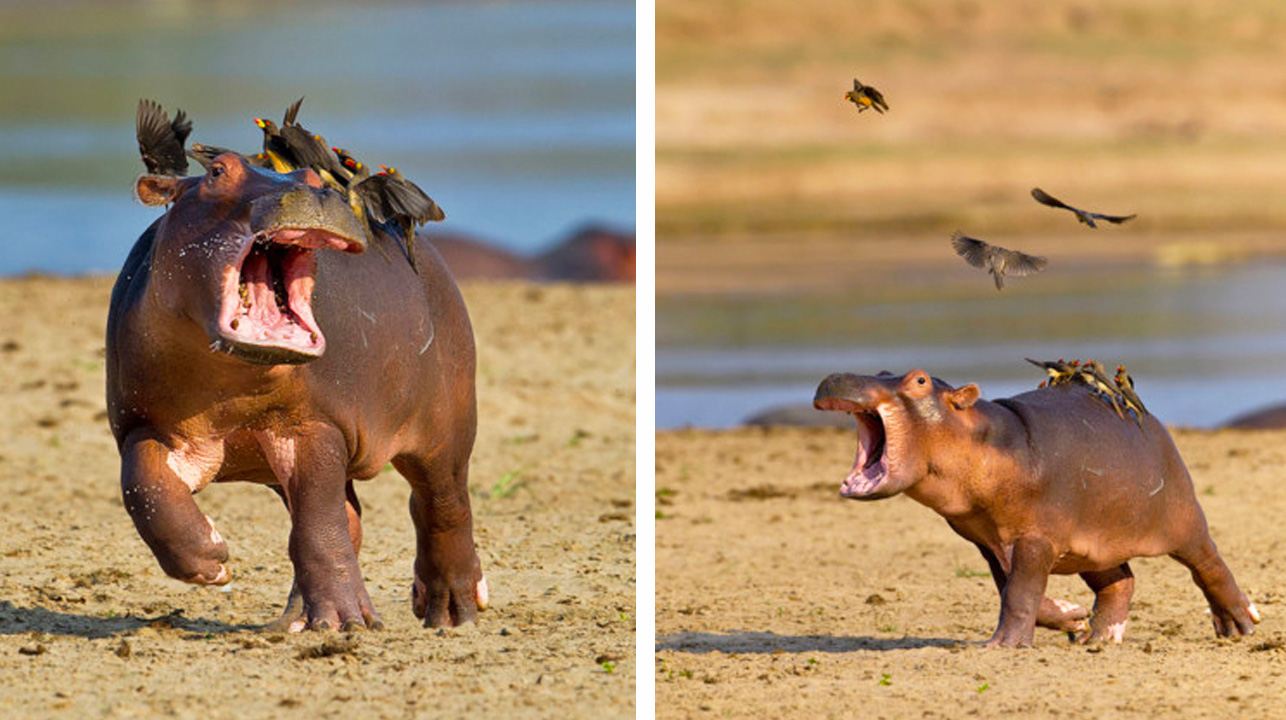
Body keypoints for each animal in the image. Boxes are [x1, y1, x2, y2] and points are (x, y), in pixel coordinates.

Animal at [812, 370, 1255, 648]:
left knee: (1209, 565)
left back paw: (1241, 624)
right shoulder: (989, 542)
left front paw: (1001, 645)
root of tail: (1154, 421)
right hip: (1093, 545)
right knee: (1119, 583)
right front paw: (1072, 616)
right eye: (883, 369)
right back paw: (1099, 638)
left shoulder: (1035, 537)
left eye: (919, 380)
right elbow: (1013, 589)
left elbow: (1020, 592)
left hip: (1184, 519)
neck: (980, 437)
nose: (839, 376)